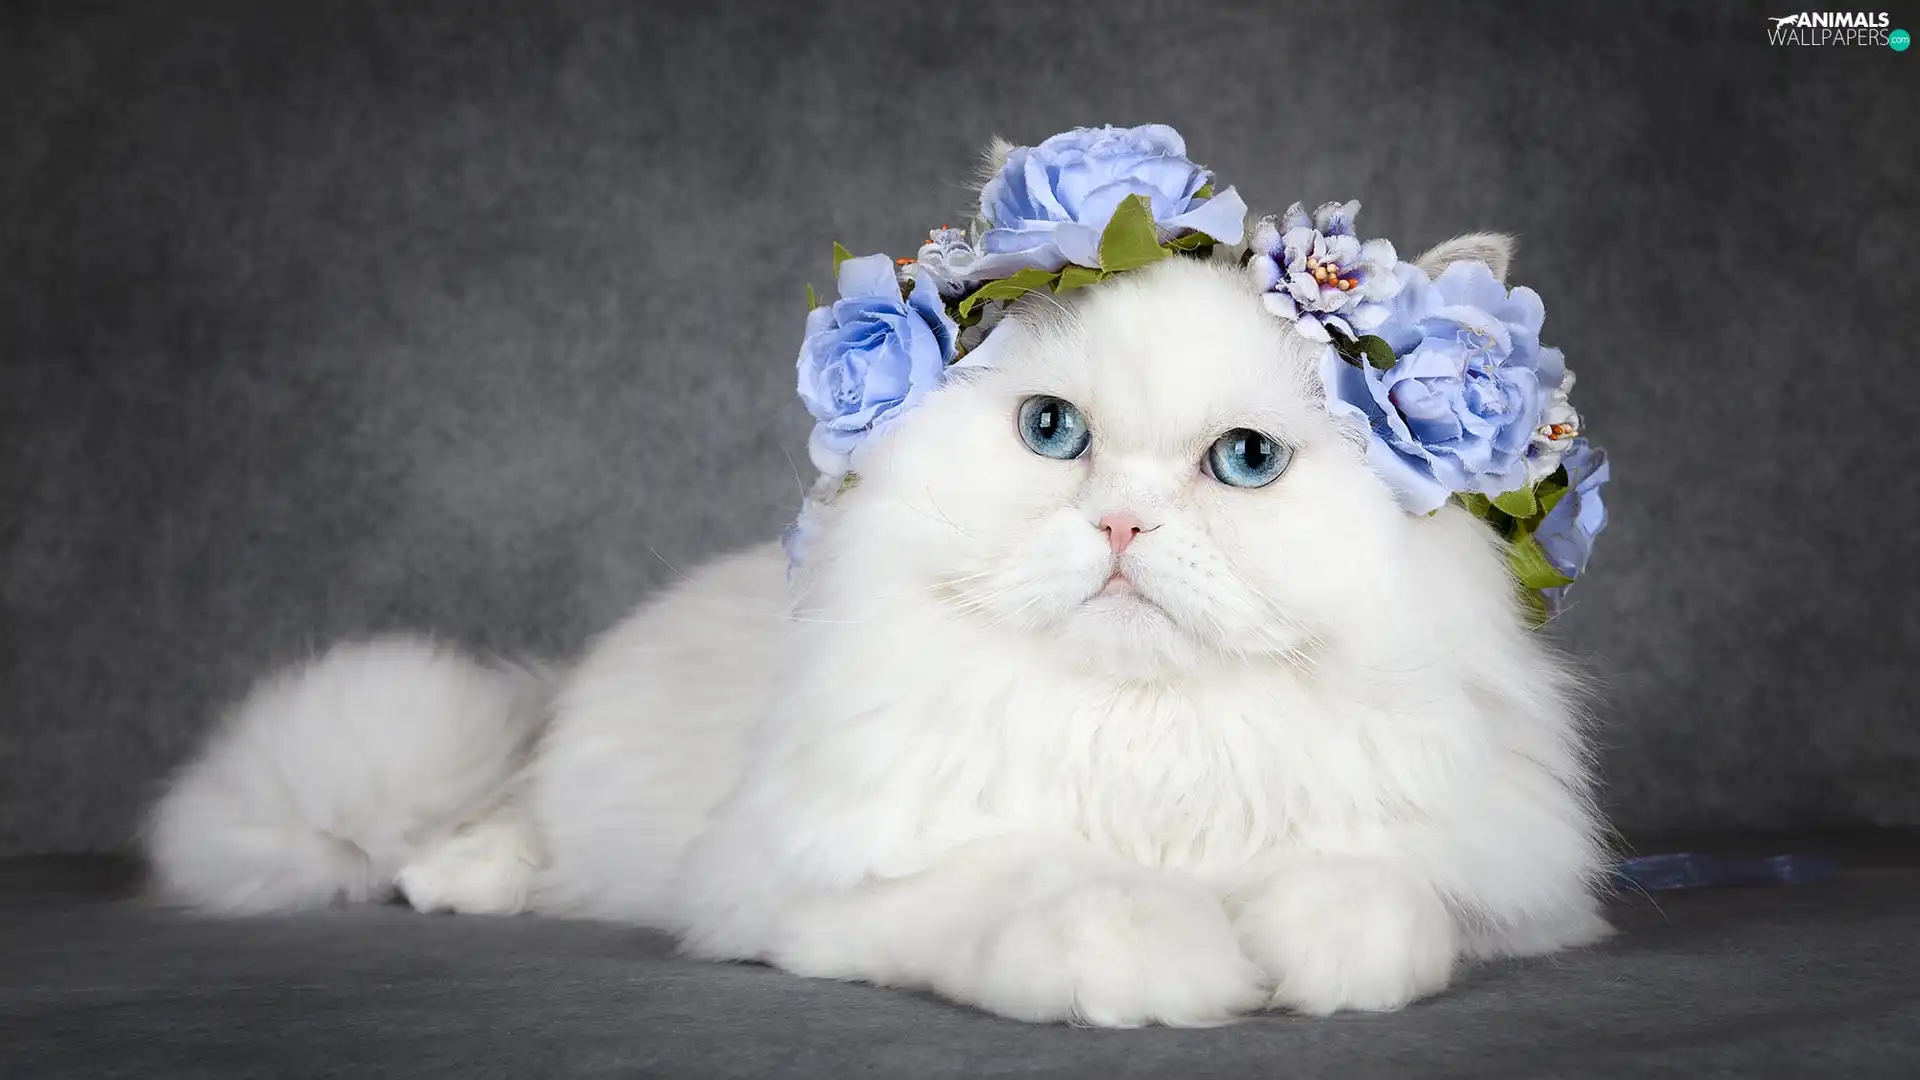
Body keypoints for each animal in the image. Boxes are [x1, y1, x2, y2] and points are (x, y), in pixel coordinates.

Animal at [142, 244, 1605, 1022]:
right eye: (1054, 433)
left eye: (1244, 463)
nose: (1121, 525)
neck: (1141, 739)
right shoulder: (834, 890)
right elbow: (1046, 886)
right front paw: (1167, 962)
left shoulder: (1476, 883)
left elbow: (1376, 900)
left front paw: (1299, 957)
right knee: (495, 830)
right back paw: (461, 874)